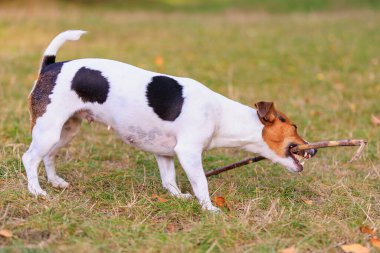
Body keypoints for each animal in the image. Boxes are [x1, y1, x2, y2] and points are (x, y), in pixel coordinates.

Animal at [22, 30, 316, 211]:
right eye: (294, 126)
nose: (312, 150)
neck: (221, 115)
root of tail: (51, 65)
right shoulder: (189, 153)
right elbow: (201, 184)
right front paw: (210, 209)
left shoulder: (165, 153)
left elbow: (169, 180)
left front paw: (178, 197)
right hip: (48, 130)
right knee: (29, 158)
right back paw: (36, 191)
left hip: (64, 131)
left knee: (48, 157)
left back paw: (55, 182)